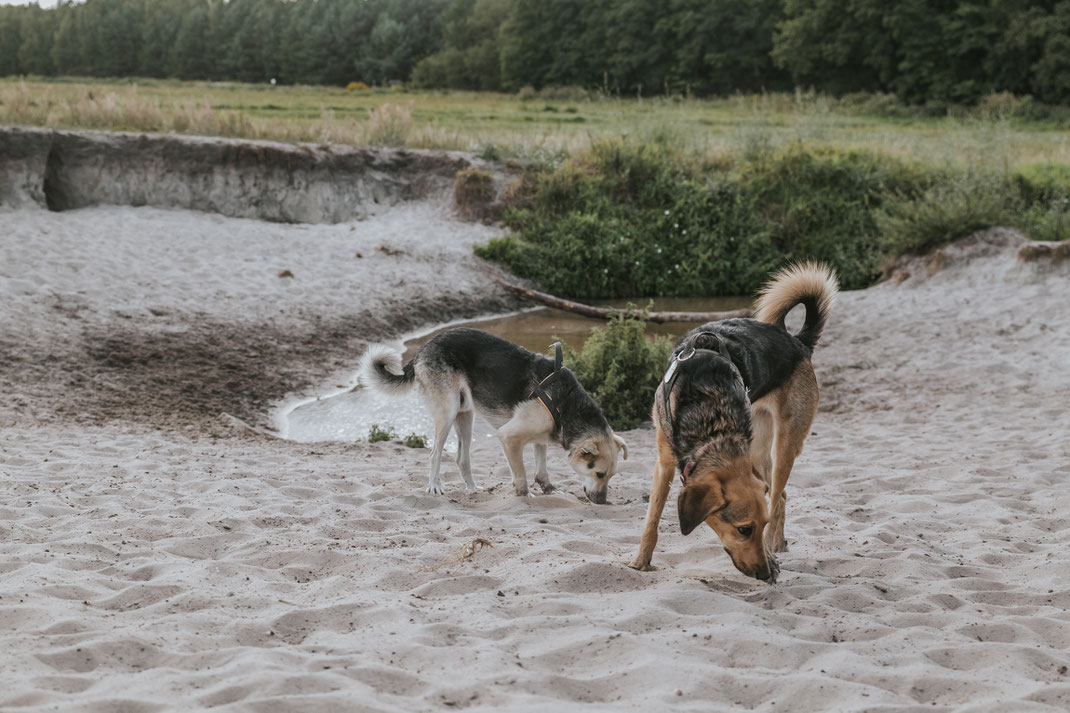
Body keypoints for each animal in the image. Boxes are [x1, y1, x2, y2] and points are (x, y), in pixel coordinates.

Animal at [359, 325, 624, 498]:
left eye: (611, 476)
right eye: (599, 474)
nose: (602, 502)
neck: (567, 403)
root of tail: (423, 348)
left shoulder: (541, 437)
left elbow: (541, 470)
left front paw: (548, 489)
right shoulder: (509, 437)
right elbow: (521, 474)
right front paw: (524, 495)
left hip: (465, 414)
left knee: (462, 458)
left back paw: (473, 490)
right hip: (447, 413)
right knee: (434, 454)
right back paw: (434, 486)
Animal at [624, 263, 834, 582]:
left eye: (757, 526)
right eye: (744, 530)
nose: (765, 574)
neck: (710, 416)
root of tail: (799, 342)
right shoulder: (664, 461)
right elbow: (652, 519)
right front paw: (640, 562)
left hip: (784, 445)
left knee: (778, 497)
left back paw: (774, 546)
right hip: (759, 452)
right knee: (781, 496)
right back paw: (778, 544)